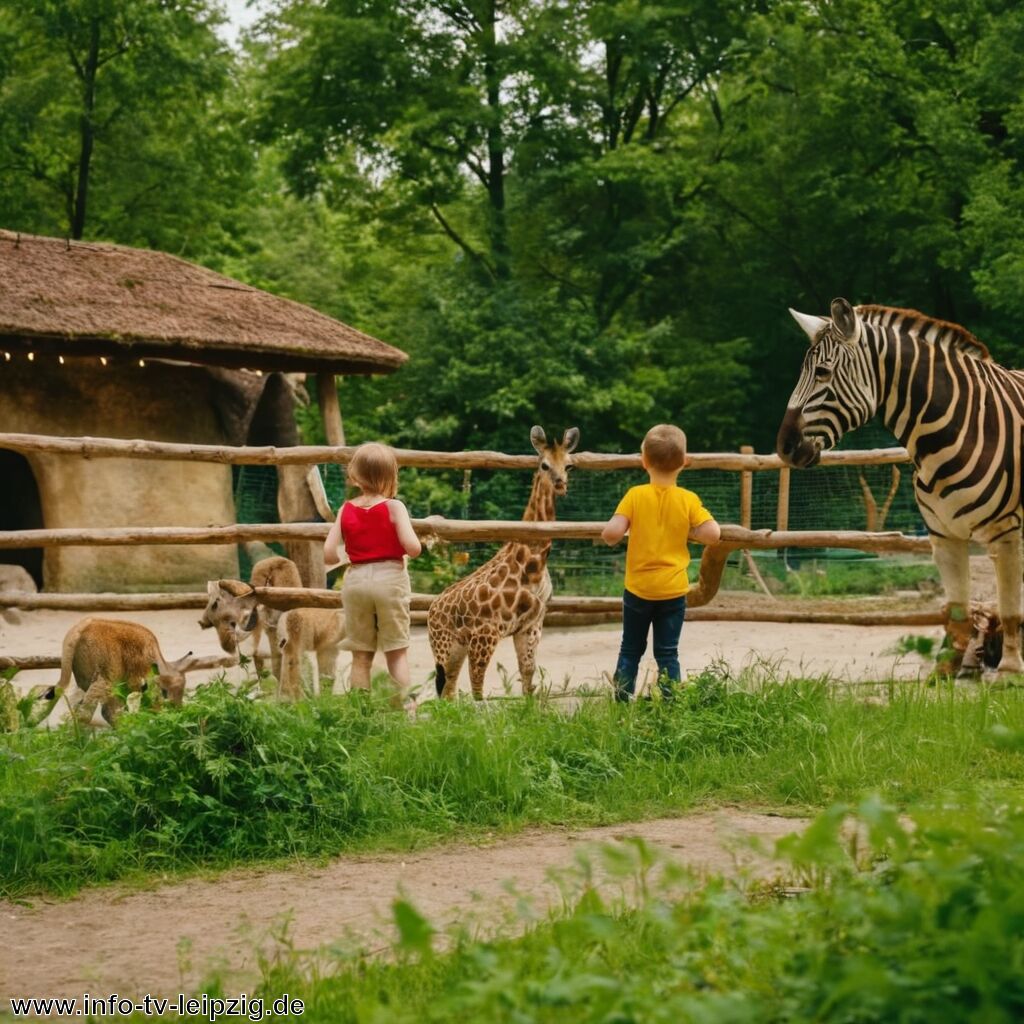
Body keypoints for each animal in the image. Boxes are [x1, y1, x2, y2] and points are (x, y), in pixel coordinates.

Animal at [44, 614, 196, 729]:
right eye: (168, 691)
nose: (179, 711)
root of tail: (75, 632)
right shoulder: (139, 679)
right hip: (104, 679)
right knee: (92, 713)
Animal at [428, 425, 581, 704]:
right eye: (544, 465)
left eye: (570, 465)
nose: (560, 485)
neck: (534, 562)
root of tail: (432, 610)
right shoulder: (486, 633)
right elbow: (478, 691)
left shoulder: (531, 626)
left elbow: (528, 675)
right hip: (444, 645)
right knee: (446, 688)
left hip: (455, 648)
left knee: (448, 689)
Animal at [778, 299, 1019, 679]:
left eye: (822, 373)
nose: (783, 447)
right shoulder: (943, 535)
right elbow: (957, 609)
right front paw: (944, 671)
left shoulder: (1006, 533)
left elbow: (1010, 609)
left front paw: (1008, 673)